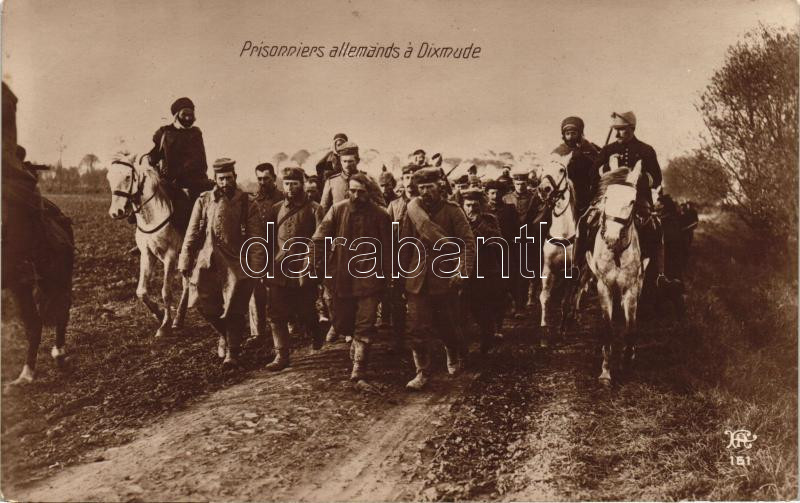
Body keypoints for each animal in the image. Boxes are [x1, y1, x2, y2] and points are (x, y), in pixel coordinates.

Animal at [106, 154, 189, 338]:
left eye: (128, 177)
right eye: (109, 178)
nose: (116, 212)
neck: (153, 215)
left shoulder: (170, 256)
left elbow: (166, 292)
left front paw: (165, 325)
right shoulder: (147, 254)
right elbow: (141, 291)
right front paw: (158, 314)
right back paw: (179, 319)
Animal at [588, 161, 648, 386]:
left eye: (632, 201)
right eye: (606, 198)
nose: (611, 238)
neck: (616, 252)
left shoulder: (631, 287)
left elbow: (630, 328)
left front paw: (627, 361)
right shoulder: (603, 286)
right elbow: (608, 329)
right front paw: (605, 373)